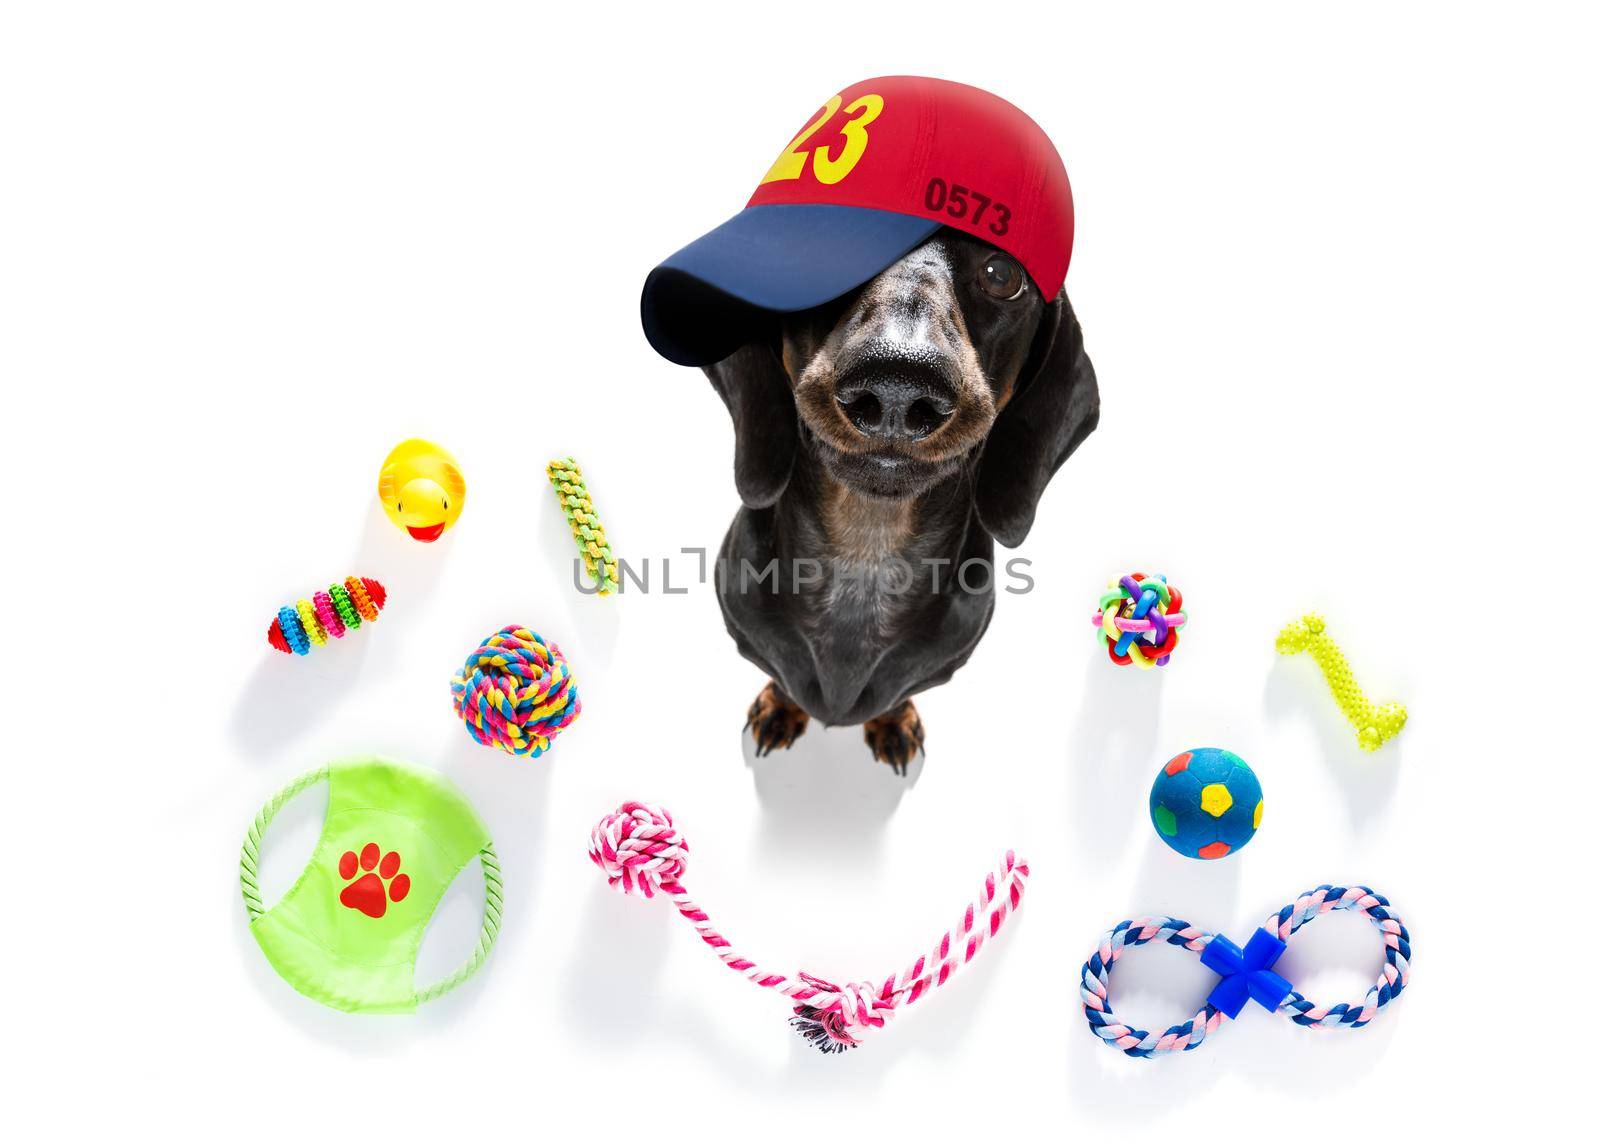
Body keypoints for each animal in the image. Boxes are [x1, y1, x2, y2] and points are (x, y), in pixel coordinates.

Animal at [704, 230, 1100, 771]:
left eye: (1001, 274)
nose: (897, 386)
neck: (867, 550)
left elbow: (896, 697)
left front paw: (893, 722)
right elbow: (782, 680)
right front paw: (780, 707)